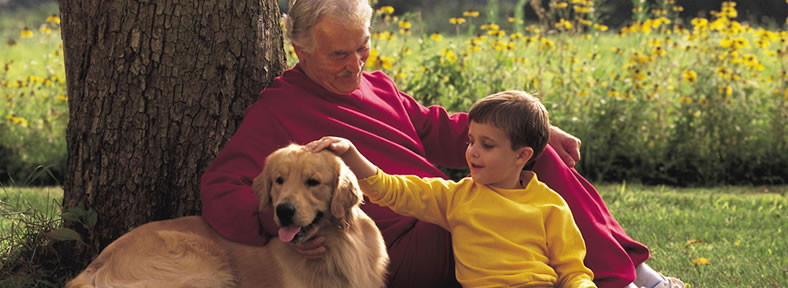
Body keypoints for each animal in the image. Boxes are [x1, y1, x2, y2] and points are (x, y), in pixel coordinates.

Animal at [66, 145, 390, 288]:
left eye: (313, 182)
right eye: (279, 180)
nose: (283, 211)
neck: (341, 243)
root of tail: (97, 264)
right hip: (202, 264)